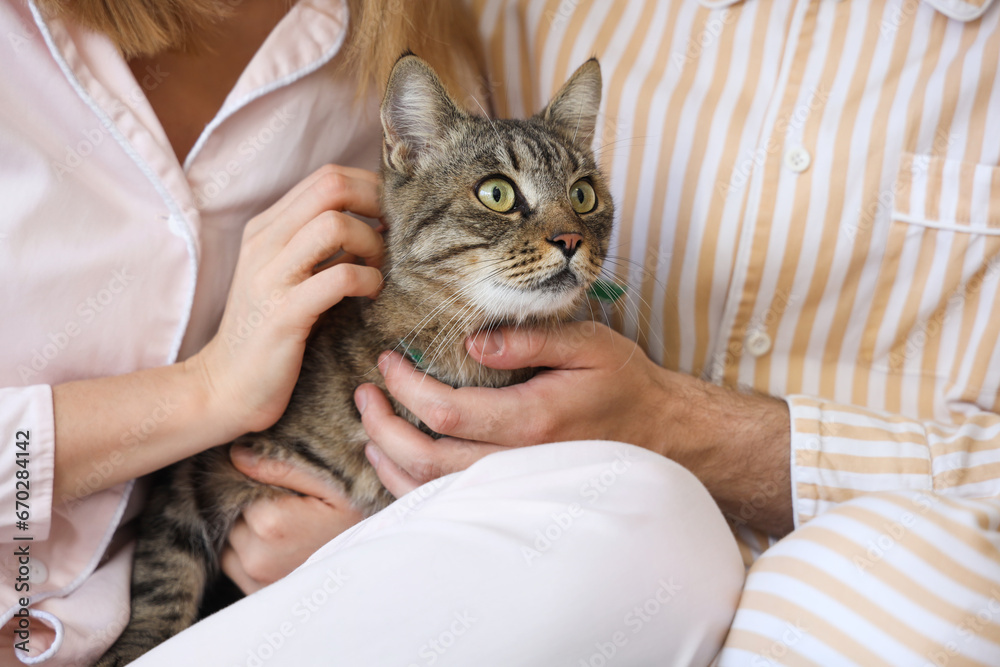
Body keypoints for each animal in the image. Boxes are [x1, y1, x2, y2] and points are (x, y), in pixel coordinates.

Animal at [103, 54, 616, 664]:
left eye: (583, 195)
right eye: (497, 193)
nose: (570, 240)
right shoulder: (190, 475)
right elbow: (164, 579)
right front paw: (136, 646)